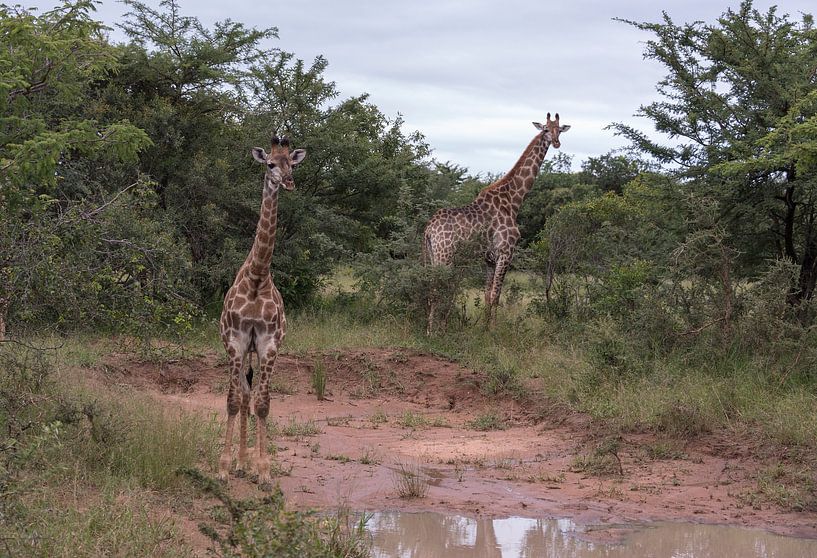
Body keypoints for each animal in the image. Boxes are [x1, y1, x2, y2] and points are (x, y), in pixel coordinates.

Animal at [217, 133, 306, 488]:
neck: (257, 277)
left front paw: (264, 471)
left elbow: (264, 404)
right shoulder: (236, 340)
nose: (290, 182)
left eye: (291, 164)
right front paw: (223, 469)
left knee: (250, 396)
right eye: (270, 164)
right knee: (242, 395)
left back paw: (249, 464)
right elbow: (233, 400)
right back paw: (240, 463)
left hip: (255, 349)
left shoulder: (268, 344)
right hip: (242, 349)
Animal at [424, 113, 572, 332]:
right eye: (545, 129)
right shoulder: (505, 252)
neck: (513, 200)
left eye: (559, 129)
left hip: (433, 255)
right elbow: (496, 295)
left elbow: (487, 295)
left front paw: (485, 328)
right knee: (436, 289)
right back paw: (433, 332)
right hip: (445, 254)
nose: (556, 143)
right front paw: (494, 331)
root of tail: (428, 229)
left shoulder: (489, 259)